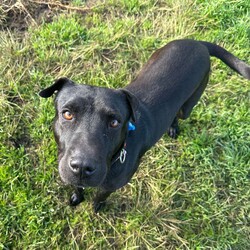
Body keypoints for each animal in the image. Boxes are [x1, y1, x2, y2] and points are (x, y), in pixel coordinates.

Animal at [39, 39, 250, 211]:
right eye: (67, 114)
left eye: (114, 122)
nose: (82, 167)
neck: (116, 156)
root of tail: (198, 43)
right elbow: (77, 185)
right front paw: (77, 196)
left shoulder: (113, 185)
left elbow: (100, 196)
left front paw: (96, 206)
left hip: (188, 105)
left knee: (178, 114)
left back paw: (173, 127)